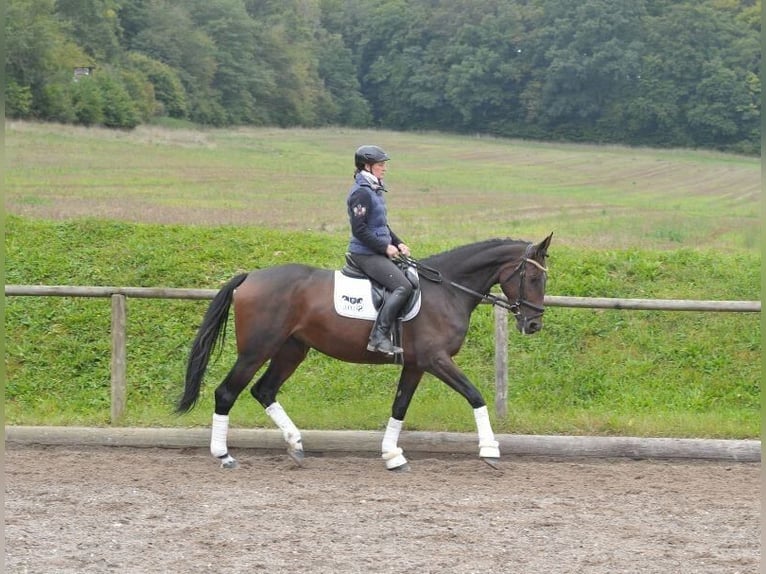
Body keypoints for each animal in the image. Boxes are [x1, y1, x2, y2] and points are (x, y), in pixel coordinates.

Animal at [178, 234, 556, 472]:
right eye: (533, 279)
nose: (533, 324)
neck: (447, 290)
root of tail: (249, 277)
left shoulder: (416, 364)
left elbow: (399, 407)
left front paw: (392, 455)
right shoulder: (436, 359)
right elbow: (475, 396)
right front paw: (490, 451)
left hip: (292, 349)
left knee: (264, 390)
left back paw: (295, 445)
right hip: (256, 350)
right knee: (227, 392)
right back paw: (224, 455)